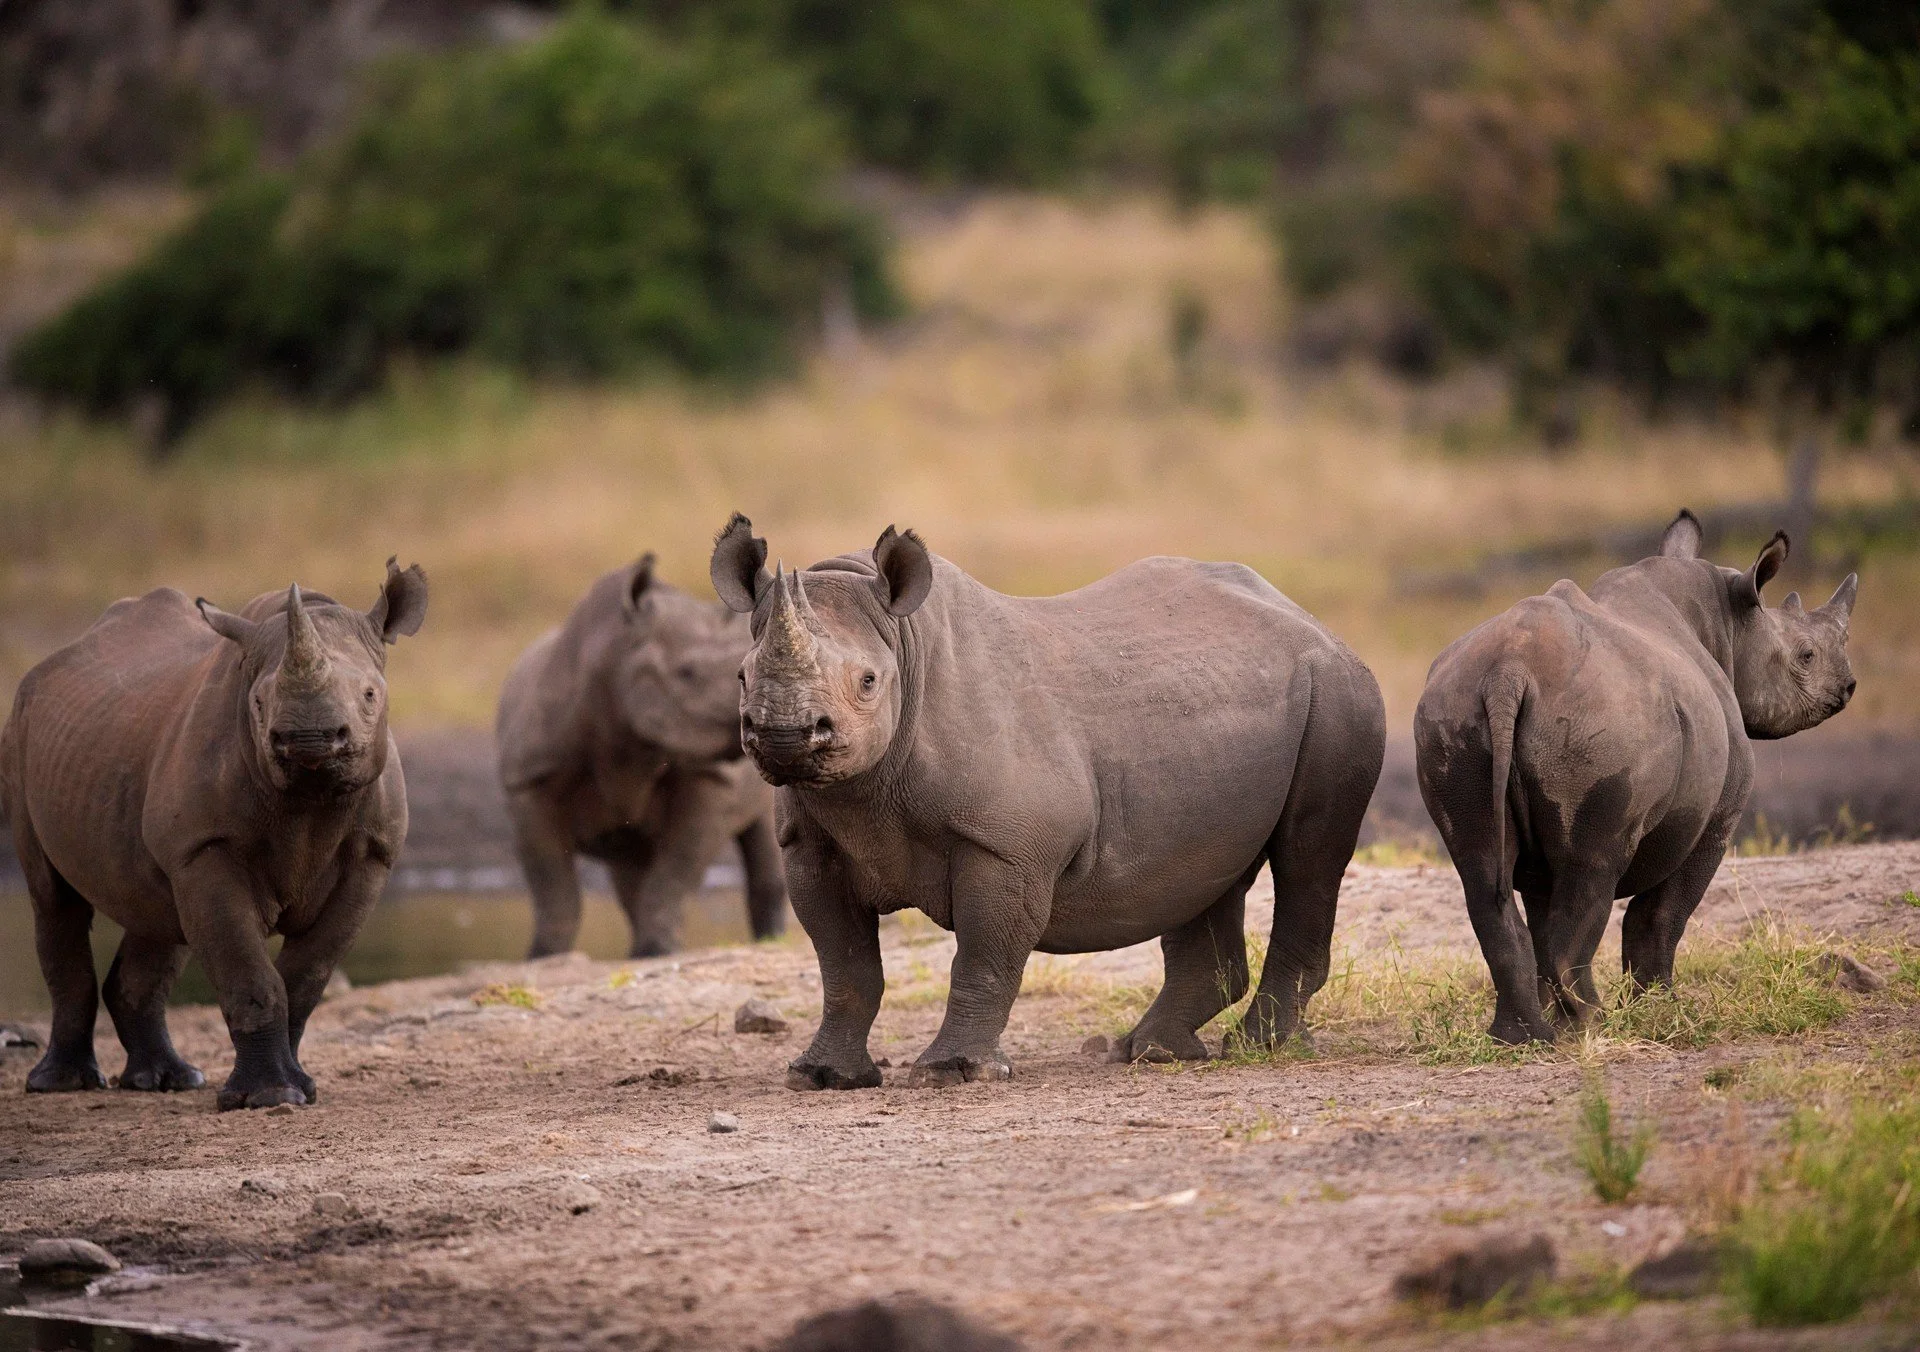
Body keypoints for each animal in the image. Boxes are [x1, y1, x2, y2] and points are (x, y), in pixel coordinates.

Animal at [0, 561, 427, 1109]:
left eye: (371, 695)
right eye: (259, 702)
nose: (307, 738)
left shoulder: (371, 856)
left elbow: (307, 976)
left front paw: (298, 1089)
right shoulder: (206, 847)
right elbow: (249, 974)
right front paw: (268, 1096)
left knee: (155, 912)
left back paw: (169, 1080)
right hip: (21, 728)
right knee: (54, 899)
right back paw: (61, 1085)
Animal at [496, 554, 786, 960]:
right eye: (687, 673)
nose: (761, 716)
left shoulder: (709, 777)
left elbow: (675, 874)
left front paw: (658, 951)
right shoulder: (527, 780)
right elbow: (553, 886)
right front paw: (544, 957)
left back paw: (771, 942)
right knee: (629, 861)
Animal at [708, 514, 1385, 1088]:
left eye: (868, 683)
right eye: (741, 677)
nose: (785, 735)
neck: (904, 642)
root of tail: (1312, 620)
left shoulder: (1007, 846)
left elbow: (983, 957)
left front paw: (955, 1073)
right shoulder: (810, 845)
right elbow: (843, 967)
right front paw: (822, 1077)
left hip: (1336, 690)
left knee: (1308, 858)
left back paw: (1259, 1047)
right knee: (1205, 872)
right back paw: (1151, 1052)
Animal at [1415, 511, 1858, 1043]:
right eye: (1806, 656)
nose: (1849, 687)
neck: (1729, 624)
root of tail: (1510, 670)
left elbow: (1544, 906)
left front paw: (1562, 1018)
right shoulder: (1717, 815)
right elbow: (1661, 914)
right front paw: (1660, 1010)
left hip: (1454, 709)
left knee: (1483, 873)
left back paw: (1523, 1036)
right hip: (1604, 723)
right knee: (1593, 869)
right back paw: (1591, 1023)